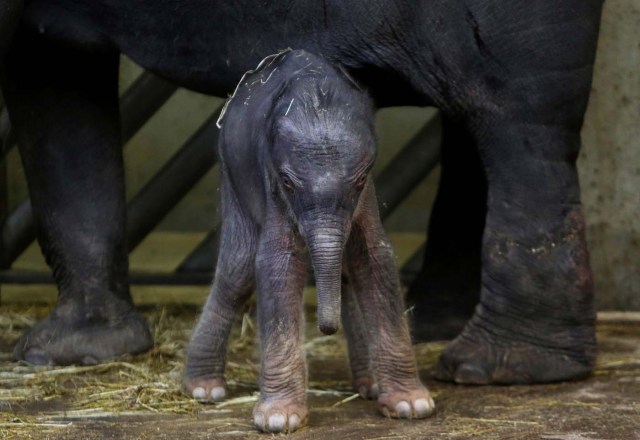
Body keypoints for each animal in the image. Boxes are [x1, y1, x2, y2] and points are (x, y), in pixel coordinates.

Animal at [0, 0, 604, 384]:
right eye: (288, 181)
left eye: (362, 178)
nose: (325, 327)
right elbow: (53, 71)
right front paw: (69, 355)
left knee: (514, 110)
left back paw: (496, 368)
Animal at [185, 49, 436, 434]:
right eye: (288, 182)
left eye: (360, 179)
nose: (326, 329)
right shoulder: (269, 176)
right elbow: (278, 263)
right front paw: (278, 419)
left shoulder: (366, 196)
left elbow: (374, 258)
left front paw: (411, 406)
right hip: (231, 171)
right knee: (237, 270)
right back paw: (203, 389)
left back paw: (369, 386)